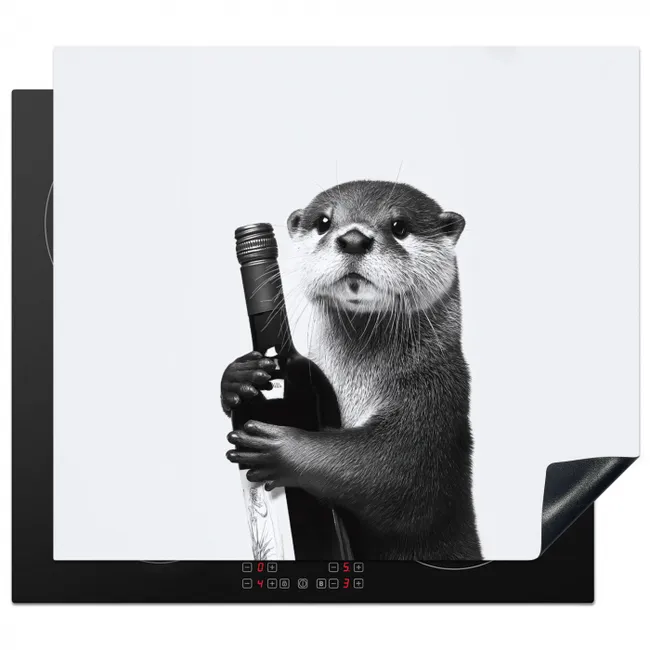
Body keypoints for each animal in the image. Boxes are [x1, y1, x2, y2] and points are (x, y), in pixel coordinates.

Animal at [222, 180, 482, 561]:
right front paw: (237, 377)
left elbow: (387, 471)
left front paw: (283, 448)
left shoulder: (435, 401)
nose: (354, 238)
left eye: (399, 226)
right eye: (324, 221)